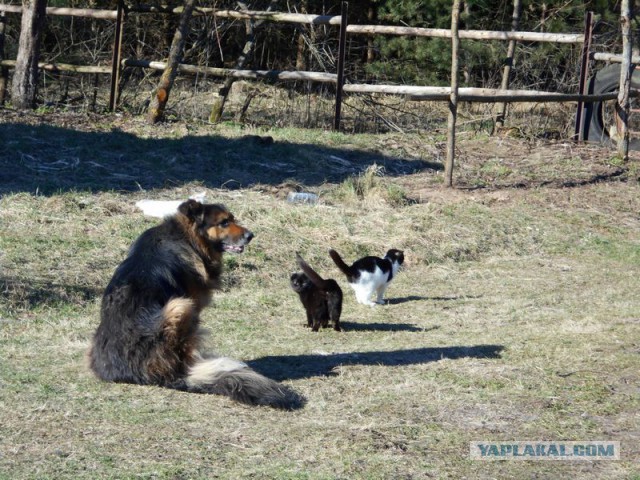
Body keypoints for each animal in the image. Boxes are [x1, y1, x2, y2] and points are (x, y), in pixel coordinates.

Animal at [88, 199, 304, 408]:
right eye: (224, 222)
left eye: (232, 219)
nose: (251, 235)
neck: (187, 238)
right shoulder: (192, 305)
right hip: (179, 306)